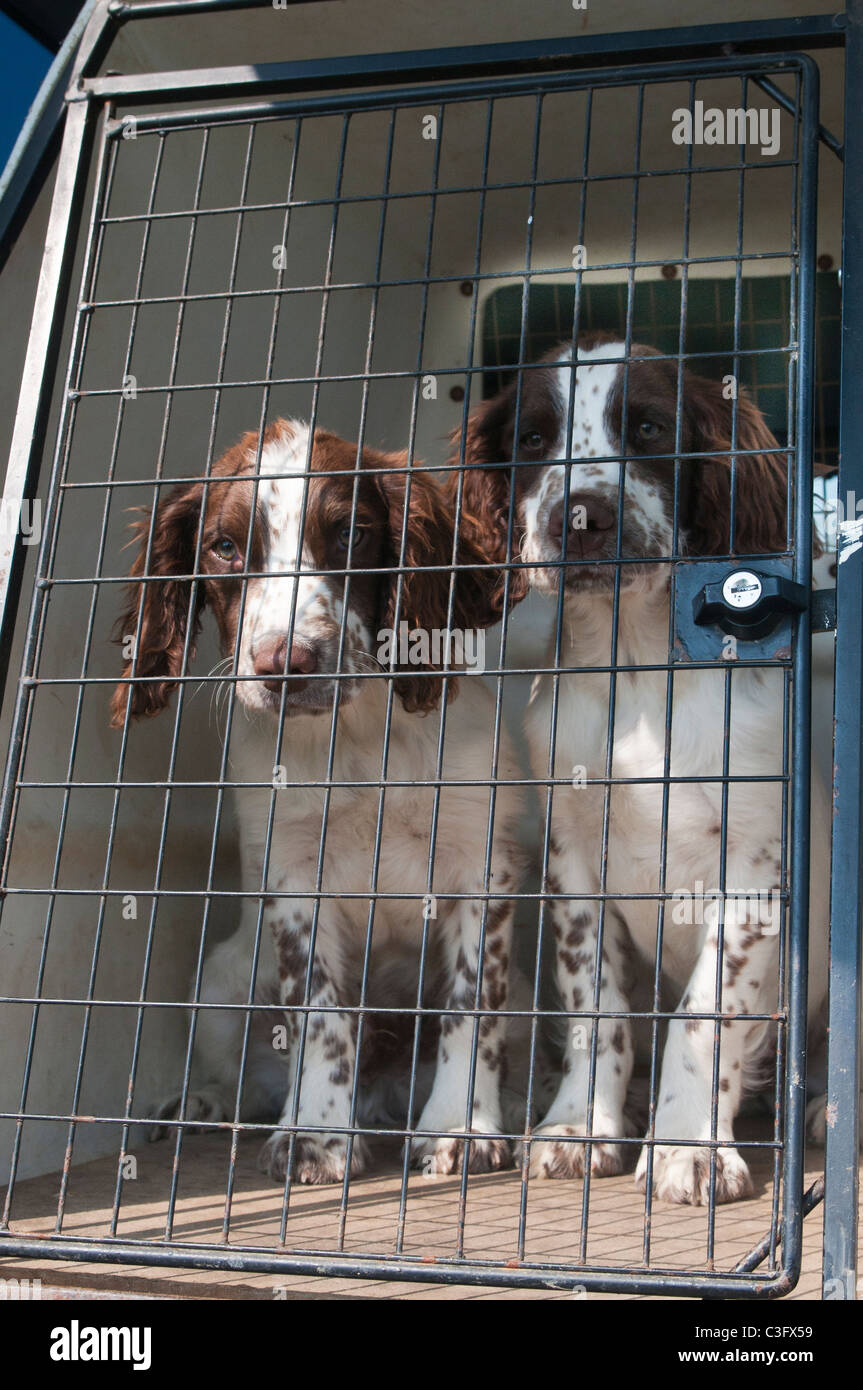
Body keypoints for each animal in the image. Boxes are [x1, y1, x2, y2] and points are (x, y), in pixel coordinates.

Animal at [111, 419, 522, 1184]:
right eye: (224, 547)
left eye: (351, 534)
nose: (285, 663)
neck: (356, 739)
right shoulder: (294, 877)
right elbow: (320, 1012)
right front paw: (318, 1134)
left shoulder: (482, 869)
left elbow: (471, 1006)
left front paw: (459, 1127)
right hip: (219, 984)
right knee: (240, 1073)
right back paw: (202, 1103)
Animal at [450, 336, 828, 1206]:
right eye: (531, 439)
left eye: (651, 427)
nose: (580, 516)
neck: (639, 666)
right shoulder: (574, 858)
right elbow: (597, 1008)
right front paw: (580, 1126)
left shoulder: (751, 863)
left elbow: (703, 1015)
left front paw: (687, 1146)